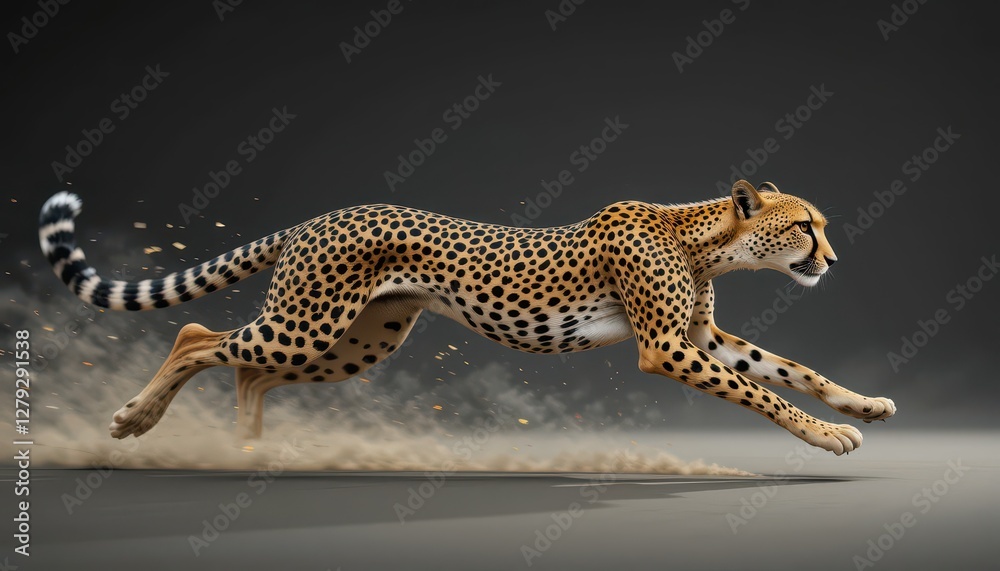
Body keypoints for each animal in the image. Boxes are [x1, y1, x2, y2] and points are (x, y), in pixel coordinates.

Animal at [38, 180, 895, 454]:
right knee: (198, 336)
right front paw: (829, 435)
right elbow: (766, 392)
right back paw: (133, 421)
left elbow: (791, 369)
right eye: (805, 226)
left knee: (246, 368)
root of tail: (321, 215)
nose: (833, 258)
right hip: (309, 323)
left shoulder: (701, 337)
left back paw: (252, 454)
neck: (704, 237)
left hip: (356, 339)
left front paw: (863, 405)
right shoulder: (666, 347)